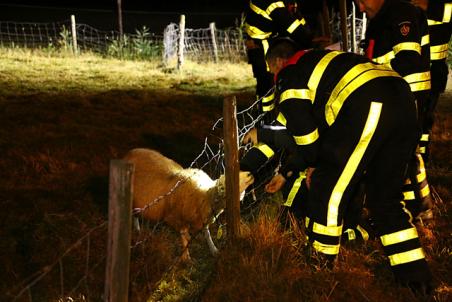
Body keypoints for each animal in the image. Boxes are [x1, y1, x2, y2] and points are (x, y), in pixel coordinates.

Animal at [123, 147, 254, 260]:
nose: (250, 174)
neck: (204, 195)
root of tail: (130, 152)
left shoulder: (202, 217)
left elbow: (207, 233)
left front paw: (213, 249)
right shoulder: (176, 217)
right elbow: (183, 235)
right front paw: (186, 256)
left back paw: (138, 230)